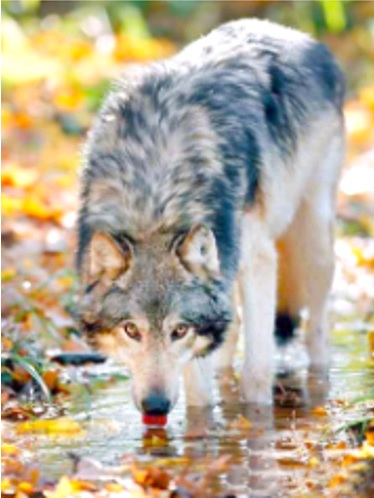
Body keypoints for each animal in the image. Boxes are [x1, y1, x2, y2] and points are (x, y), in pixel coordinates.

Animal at [76, 19, 344, 414]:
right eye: (131, 330)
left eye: (178, 330)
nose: (156, 406)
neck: (155, 197)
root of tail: (297, 35)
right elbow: (199, 392)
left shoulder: (258, 261)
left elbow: (256, 372)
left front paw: (257, 422)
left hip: (314, 244)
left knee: (318, 334)